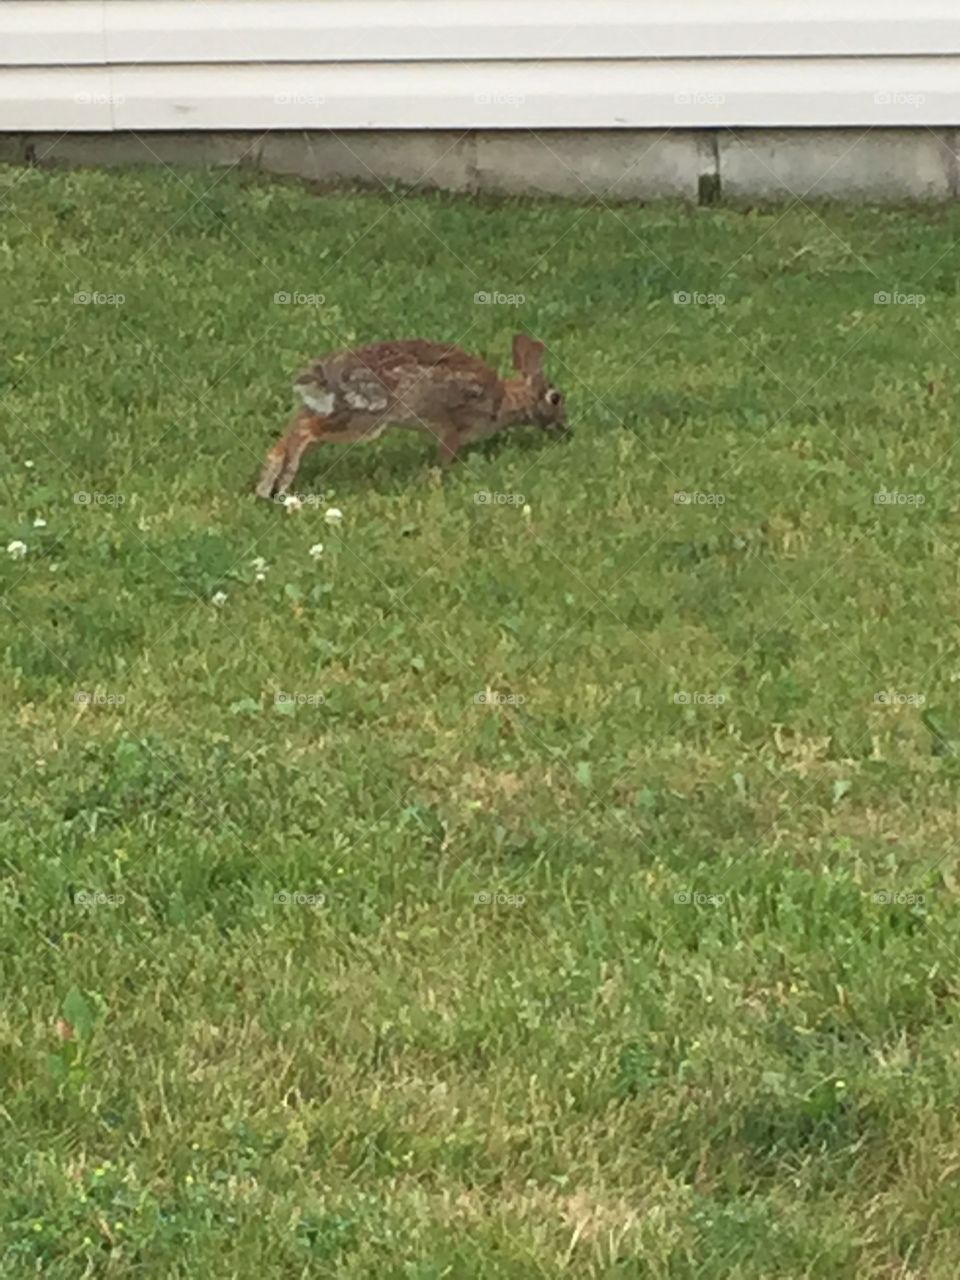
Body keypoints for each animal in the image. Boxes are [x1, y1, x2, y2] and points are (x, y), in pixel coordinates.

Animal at [255, 334, 569, 499]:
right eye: (555, 398)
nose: (566, 428)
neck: (505, 398)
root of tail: (324, 377)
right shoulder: (453, 427)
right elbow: (445, 455)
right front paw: (439, 478)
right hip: (366, 418)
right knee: (305, 431)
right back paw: (281, 484)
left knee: (292, 431)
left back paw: (266, 485)